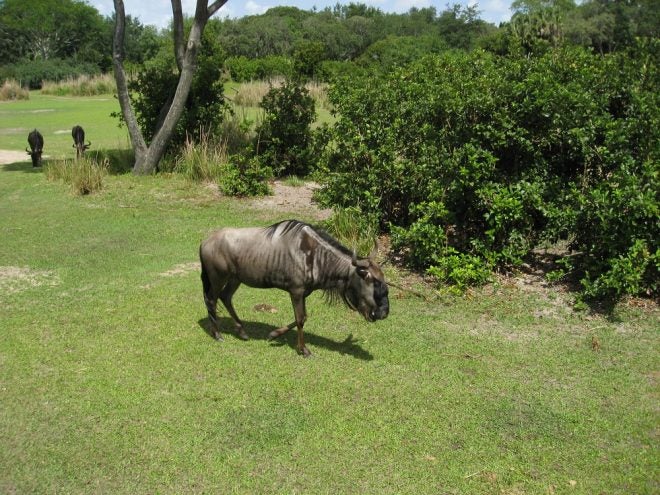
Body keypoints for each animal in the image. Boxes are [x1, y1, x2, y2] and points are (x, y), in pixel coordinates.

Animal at [199, 221, 390, 356]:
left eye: (383, 279)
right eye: (369, 279)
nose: (383, 313)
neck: (315, 255)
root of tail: (205, 242)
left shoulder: (304, 292)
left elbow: (303, 317)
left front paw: (274, 334)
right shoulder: (296, 291)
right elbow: (300, 320)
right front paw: (304, 350)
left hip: (235, 278)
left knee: (225, 297)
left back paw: (242, 331)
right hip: (218, 278)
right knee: (211, 299)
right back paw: (217, 334)